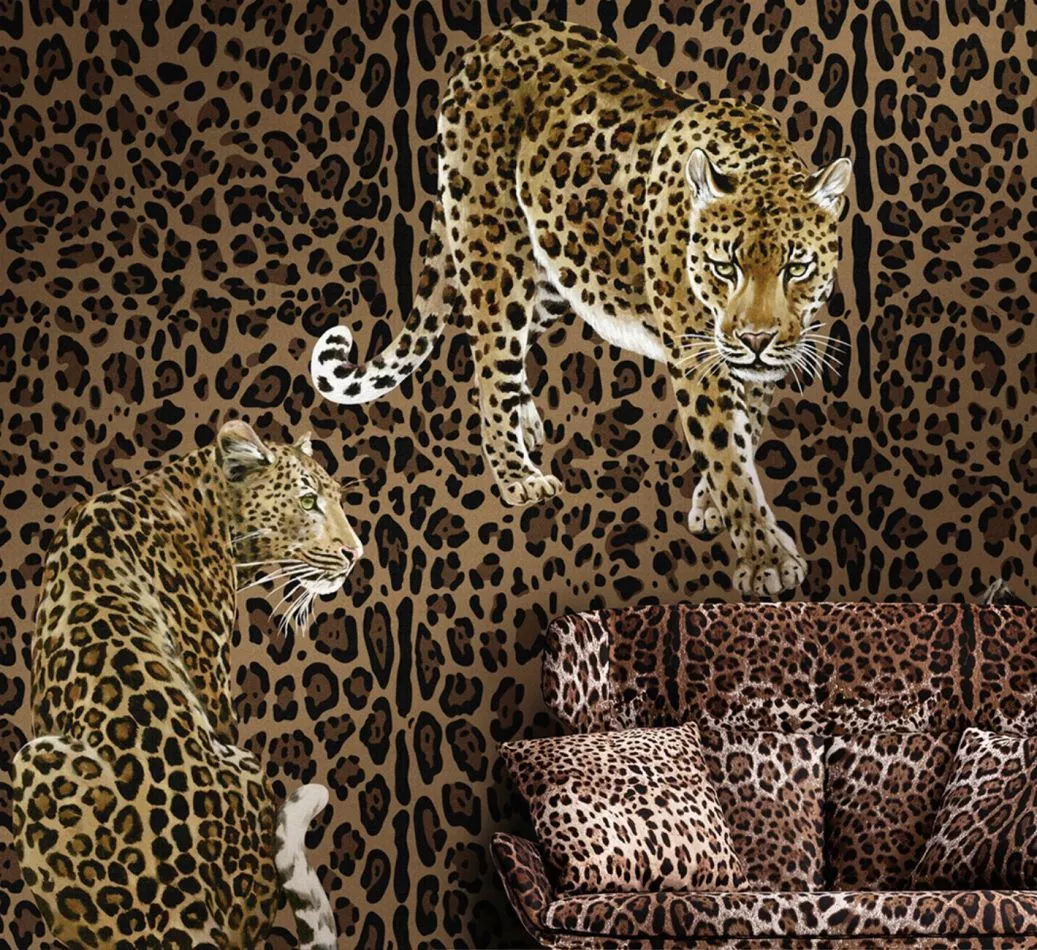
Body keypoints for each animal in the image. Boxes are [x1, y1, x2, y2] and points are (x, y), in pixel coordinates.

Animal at [309, 19, 852, 597]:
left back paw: (526, 422)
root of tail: (493, 38)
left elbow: (743, 435)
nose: (756, 339)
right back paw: (518, 476)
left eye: (797, 267)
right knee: (488, 361)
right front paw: (765, 558)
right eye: (724, 267)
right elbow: (726, 448)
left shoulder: (753, 364)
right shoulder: (696, 357)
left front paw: (714, 507)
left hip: (554, 274)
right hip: (493, 252)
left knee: (507, 351)